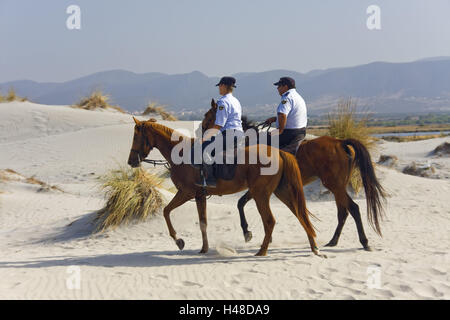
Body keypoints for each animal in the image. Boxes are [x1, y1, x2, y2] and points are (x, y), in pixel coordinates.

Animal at [126, 117, 324, 258]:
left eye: (136, 136)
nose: (131, 161)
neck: (181, 154)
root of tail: (279, 152)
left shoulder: (186, 193)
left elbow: (166, 211)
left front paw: (179, 241)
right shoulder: (199, 196)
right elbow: (203, 223)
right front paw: (204, 249)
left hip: (261, 194)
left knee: (270, 221)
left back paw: (262, 251)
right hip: (281, 192)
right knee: (300, 214)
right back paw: (314, 247)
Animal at [202, 99, 384, 250]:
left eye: (209, 117)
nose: (203, 132)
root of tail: (340, 142)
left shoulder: (257, 186)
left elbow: (241, 203)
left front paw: (249, 233)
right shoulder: (256, 187)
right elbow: (241, 203)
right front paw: (255, 234)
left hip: (334, 185)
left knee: (352, 208)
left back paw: (364, 242)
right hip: (337, 186)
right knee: (343, 211)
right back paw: (333, 241)